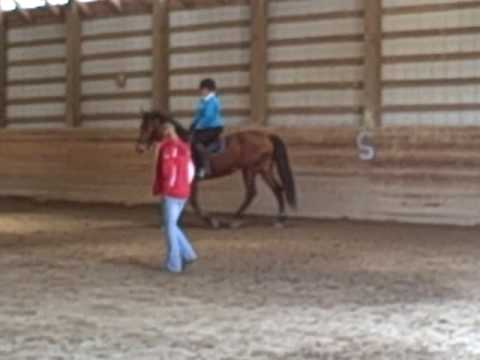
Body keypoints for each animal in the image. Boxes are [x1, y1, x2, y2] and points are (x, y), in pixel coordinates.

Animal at [135, 109, 296, 228]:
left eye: (147, 127)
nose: (139, 148)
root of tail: (267, 136)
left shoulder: (193, 179)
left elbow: (193, 201)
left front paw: (212, 221)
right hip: (264, 169)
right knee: (277, 189)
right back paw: (279, 220)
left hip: (250, 169)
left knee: (252, 192)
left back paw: (235, 220)